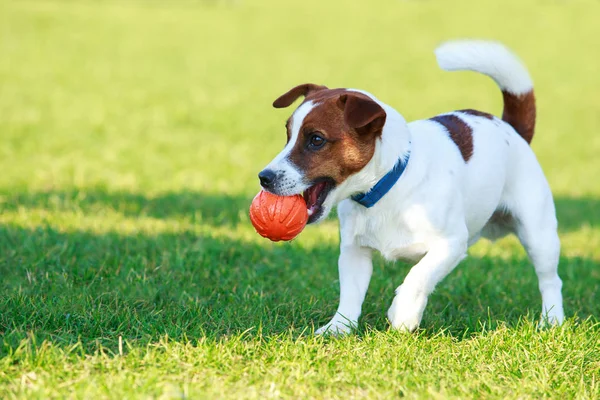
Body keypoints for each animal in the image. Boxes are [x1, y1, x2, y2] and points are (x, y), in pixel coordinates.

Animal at [256, 40, 564, 334]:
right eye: (288, 135)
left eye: (316, 140)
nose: (264, 177)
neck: (386, 187)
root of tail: (511, 128)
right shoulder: (354, 251)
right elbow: (350, 294)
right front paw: (338, 328)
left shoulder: (451, 243)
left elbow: (419, 275)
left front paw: (403, 312)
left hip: (538, 234)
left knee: (550, 279)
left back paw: (551, 320)